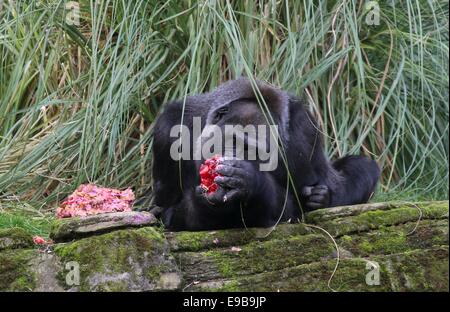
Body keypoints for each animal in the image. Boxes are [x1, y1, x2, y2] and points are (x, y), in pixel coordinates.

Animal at [152, 77, 380, 232]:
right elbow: (168, 209)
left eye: (251, 150)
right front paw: (203, 205)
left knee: (359, 170)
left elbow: (292, 211)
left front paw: (250, 181)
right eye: (231, 140)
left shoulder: (303, 133)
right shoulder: (170, 126)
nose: (232, 157)